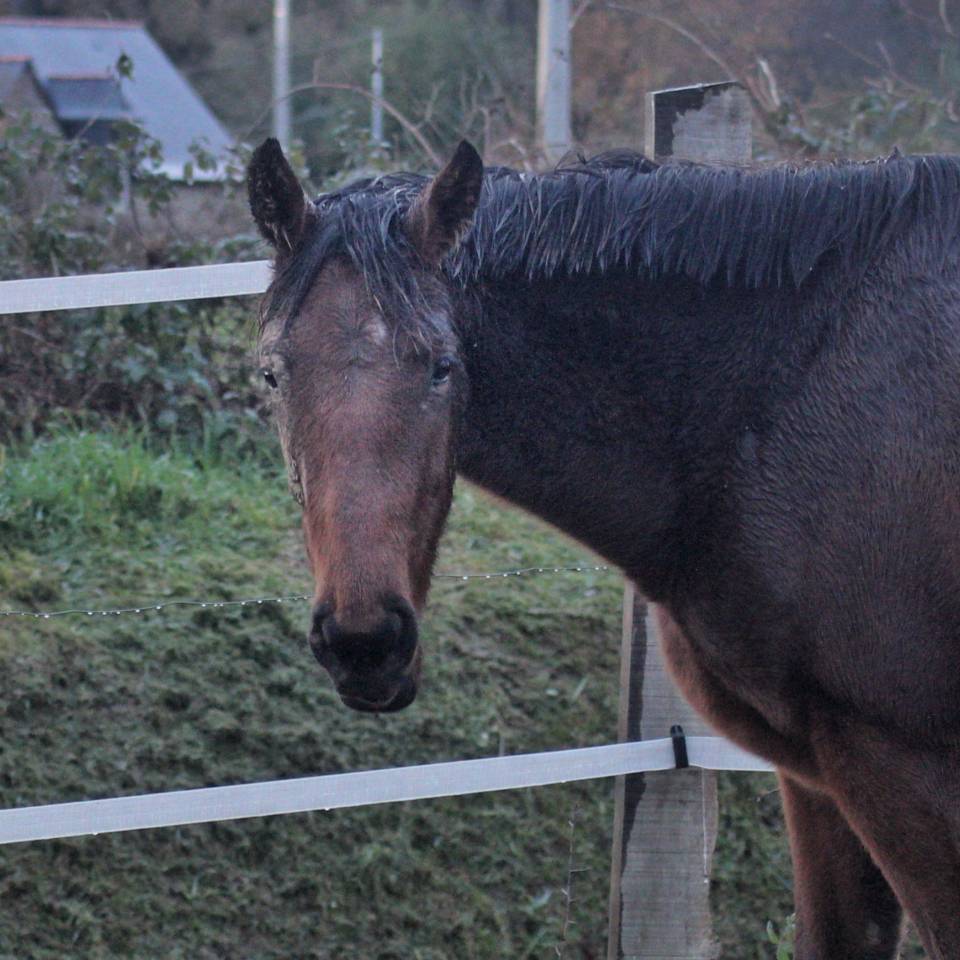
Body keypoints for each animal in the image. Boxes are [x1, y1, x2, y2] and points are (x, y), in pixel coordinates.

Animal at [247, 136, 960, 958]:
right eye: (272, 375)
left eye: (442, 367)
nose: (364, 642)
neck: (784, 384)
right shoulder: (821, 782)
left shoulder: (903, 770)